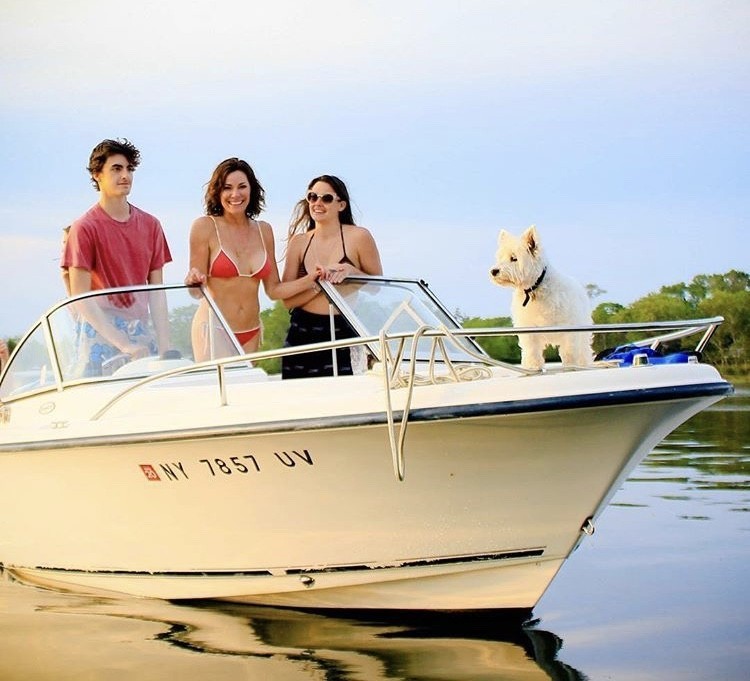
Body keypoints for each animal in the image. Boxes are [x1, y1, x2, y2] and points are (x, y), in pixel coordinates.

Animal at [490, 226, 596, 370]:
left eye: (514, 258)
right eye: (500, 258)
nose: (494, 271)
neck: (534, 289)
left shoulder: (569, 328)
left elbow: (569, 352)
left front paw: (570, 367)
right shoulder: (528, 329)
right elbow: (532, 351)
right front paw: (533, 367)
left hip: (583, 331)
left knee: (584, 350)